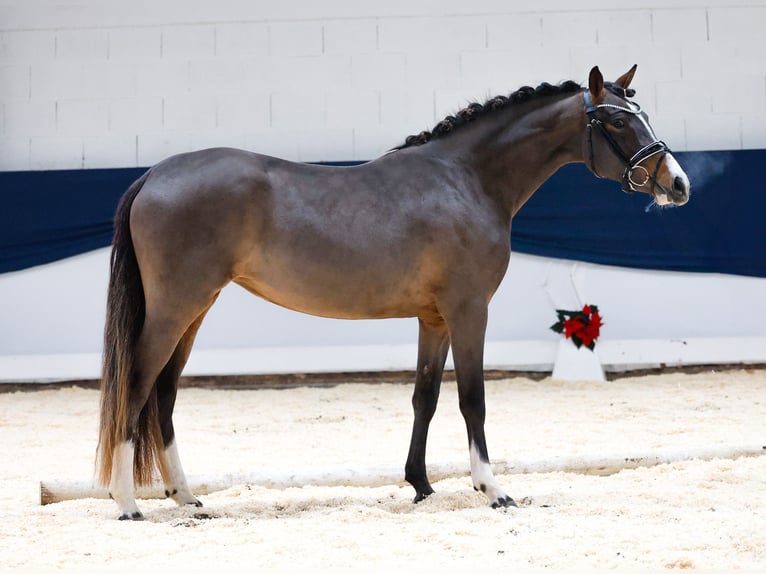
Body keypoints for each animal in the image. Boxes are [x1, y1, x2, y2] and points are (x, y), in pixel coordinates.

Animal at [94, 66, 688, 520]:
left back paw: (186, 497)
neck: (466, 180)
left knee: (164, 393)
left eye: (642, 114)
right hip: (175, 308)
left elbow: (425, 397)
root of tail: (154, 176)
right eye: (617, 119)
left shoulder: (434, 319)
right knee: (137, 385)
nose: (677, 184)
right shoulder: (469, 312)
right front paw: (493, 489)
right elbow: (472, 398)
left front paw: (421, 485)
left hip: (193, 310)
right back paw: (128, 503)